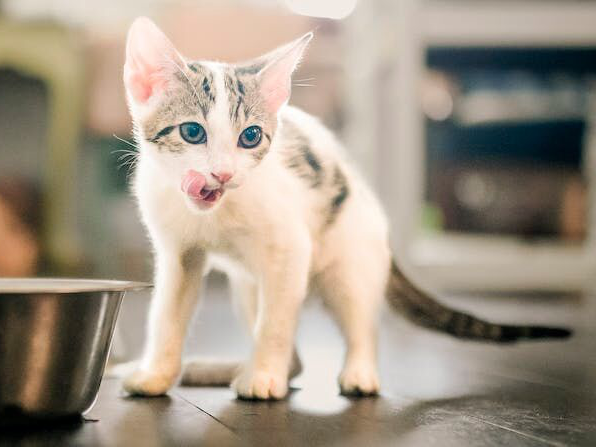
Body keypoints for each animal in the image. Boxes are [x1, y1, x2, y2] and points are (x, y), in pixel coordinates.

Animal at [122, 17, 572, 400]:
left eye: (250, 137)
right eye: (192, 132)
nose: (223, 173)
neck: (215, 214)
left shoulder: (291, 249)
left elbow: (276, 324)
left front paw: (264, 376)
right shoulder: (180, 254)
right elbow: (167, 316)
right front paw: (156, 376)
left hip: (350, 261)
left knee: (359, 320)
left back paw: (357, 373)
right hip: (248, 284)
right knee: (294, 357)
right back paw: (222, 369)